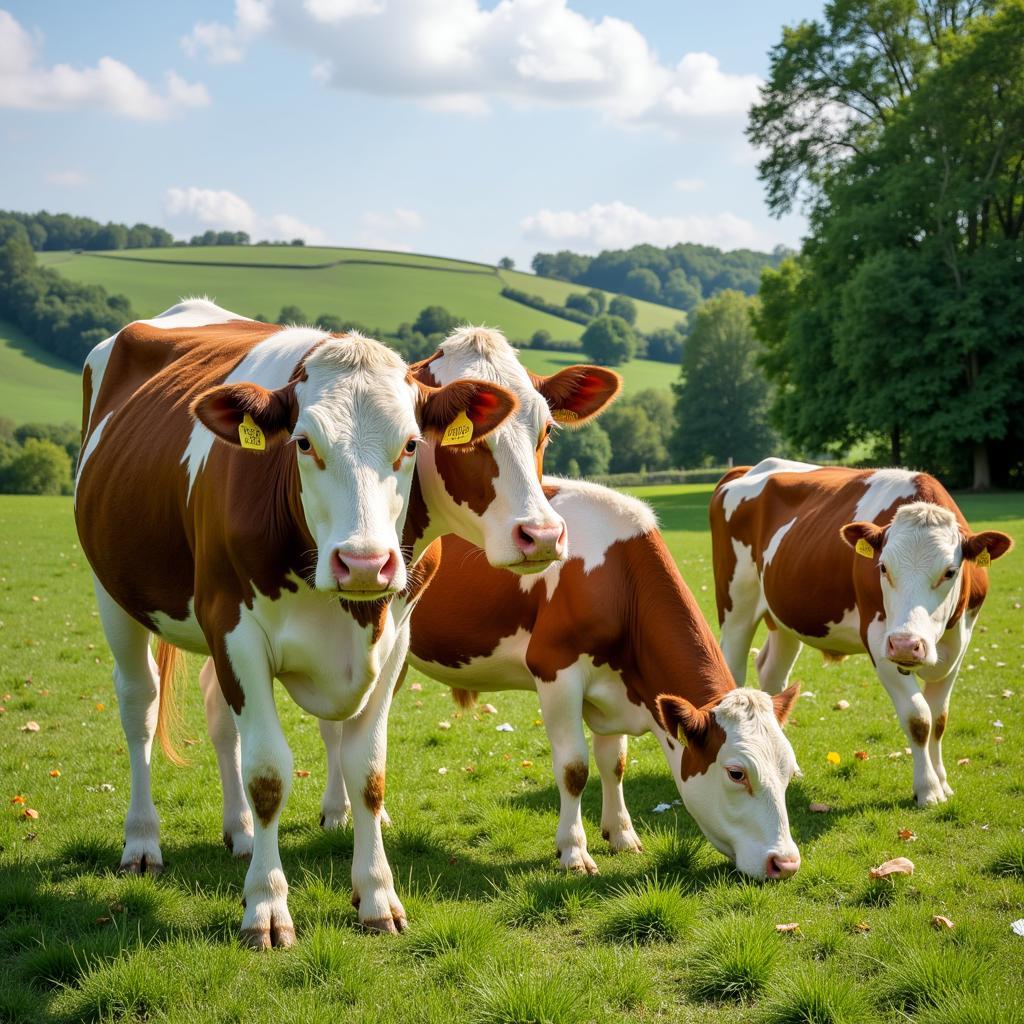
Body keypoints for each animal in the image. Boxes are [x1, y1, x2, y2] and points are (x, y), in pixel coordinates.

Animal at [74, 299, 532, 946]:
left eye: (412, 444)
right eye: (304, 443)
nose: (364, 561)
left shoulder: (393, 640)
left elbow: (368, 772)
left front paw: (377, 896)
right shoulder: (234, 627)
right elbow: (268, 774)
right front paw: (266, 907)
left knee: (221, 721)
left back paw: (240, 832)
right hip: (114, 594)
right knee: (139, 706)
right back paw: (142, 840)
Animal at [315, 479, 802, 880]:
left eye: (790, 770)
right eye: (736, 772)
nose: (786, 863)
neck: (616, 575)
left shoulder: (615, 685)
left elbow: (614, 762)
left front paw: (621, 835)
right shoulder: (555, 670)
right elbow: (574, 768)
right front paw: (574, 851)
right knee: (335, 732)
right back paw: (339, 812)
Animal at [708, 458, 1011, 806]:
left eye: (950, 571)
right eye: (883, 568)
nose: (906, 644)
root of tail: (747, 468)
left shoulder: (961, 641)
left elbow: (938, 719)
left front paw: (943, 781)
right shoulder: (880, 641)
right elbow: (919, 718)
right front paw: (928, 789)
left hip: (783, 613)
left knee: (772, 674)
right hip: (736, 604)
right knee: (733, 666)